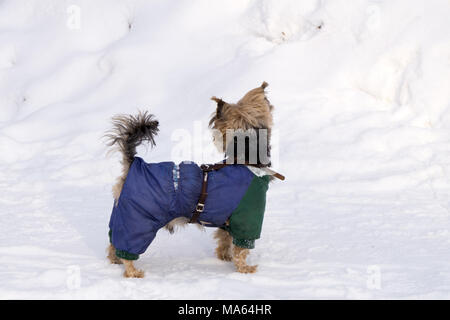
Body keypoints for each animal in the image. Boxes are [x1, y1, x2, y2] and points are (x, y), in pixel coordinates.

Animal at [107, 82, 280, 278]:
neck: (247, 161)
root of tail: (133, 163)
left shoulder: (228, 221)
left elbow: (224, 239)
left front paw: (224, 257)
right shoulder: (247, 219)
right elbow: (241, 249)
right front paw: (244, 269)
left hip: (122, 214)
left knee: (113, 239)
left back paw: (114, 260)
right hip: (139, 220)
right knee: (128, 245)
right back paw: (132, 271)